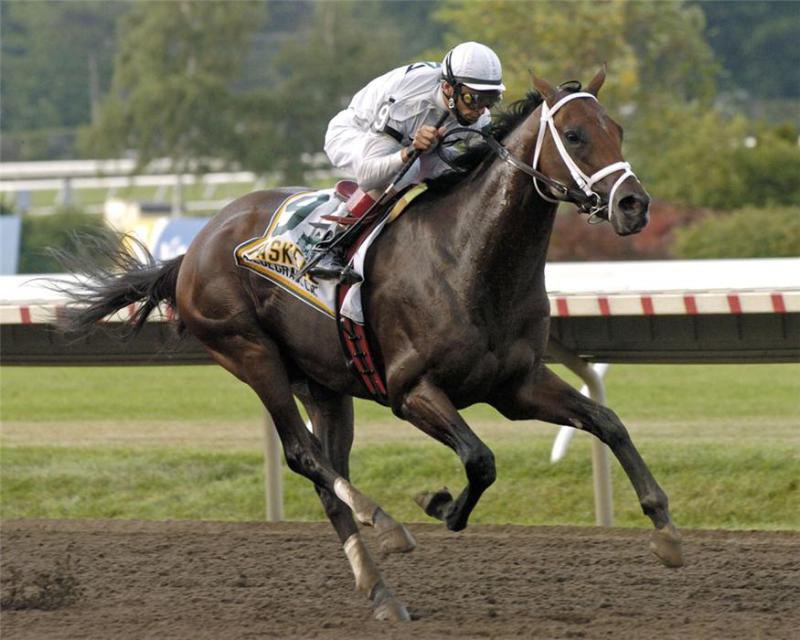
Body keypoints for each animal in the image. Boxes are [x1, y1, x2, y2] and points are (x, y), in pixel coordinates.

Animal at [65, 69, 684, 620]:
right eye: (574, 135)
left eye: (617, 129)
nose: (634, 205)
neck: (469, 258)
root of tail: (193, 248)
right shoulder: (409, 390)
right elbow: (480, 459)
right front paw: (440, 506)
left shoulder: (517, 386)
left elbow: (607, 422)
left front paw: (666, 532)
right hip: (250, 353)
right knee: (304, 456)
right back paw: (381, 522)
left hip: (325, 384)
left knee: (325, 474)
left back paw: (380, 589)